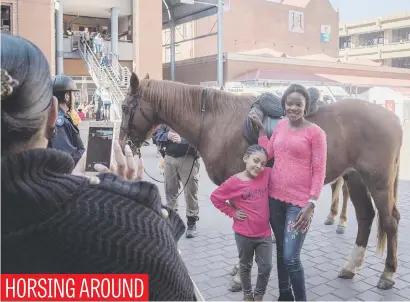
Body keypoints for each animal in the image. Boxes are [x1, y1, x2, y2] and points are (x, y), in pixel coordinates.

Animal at [118, 73, 400, 290]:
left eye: (124, 107)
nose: (122, 144)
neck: (216, 121)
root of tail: (393, 118)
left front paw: (240, 275)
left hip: (378, 183)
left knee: (389, 221)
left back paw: (387, 274)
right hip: (355, 178)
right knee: (365, 217)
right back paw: (351, 266)